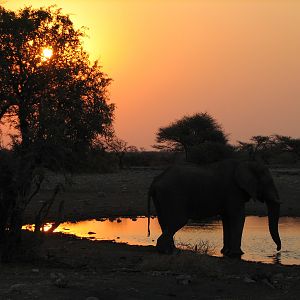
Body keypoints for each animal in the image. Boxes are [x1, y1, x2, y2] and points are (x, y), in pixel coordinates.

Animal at [148, 159, 282, 258]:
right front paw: (237, 254)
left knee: (164, 221)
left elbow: (227, 218)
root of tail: (156, 180)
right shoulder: (233, 191)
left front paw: (225, 252)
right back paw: (166, 251)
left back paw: (171, 250)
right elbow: (238, 216)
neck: (245, 164)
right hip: (173, 195)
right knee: (178, 220)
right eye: (268, 182)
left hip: (162, 197)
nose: (278, 250)